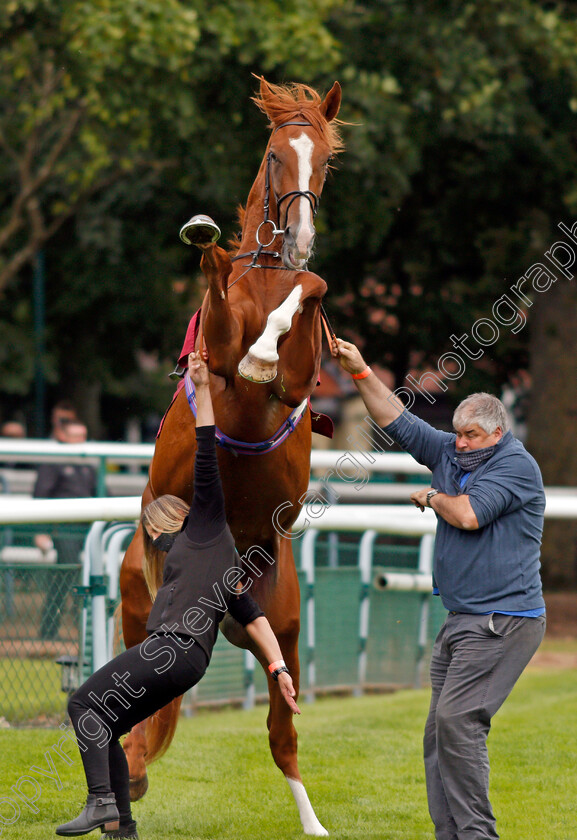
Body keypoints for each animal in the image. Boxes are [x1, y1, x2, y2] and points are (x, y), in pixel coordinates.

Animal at [118, 77, 342, 832]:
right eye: (276, 154)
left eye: (324, 161)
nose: (299, 239)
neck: (267, 278)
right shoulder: (214, 351)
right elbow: (217, 283)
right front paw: (207, 241)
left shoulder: (300, 375)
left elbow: (312, 292)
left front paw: (265, 350)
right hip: (137, 603)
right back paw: (128, 776)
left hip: (280, 623)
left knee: (282, 732)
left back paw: (313, 822)